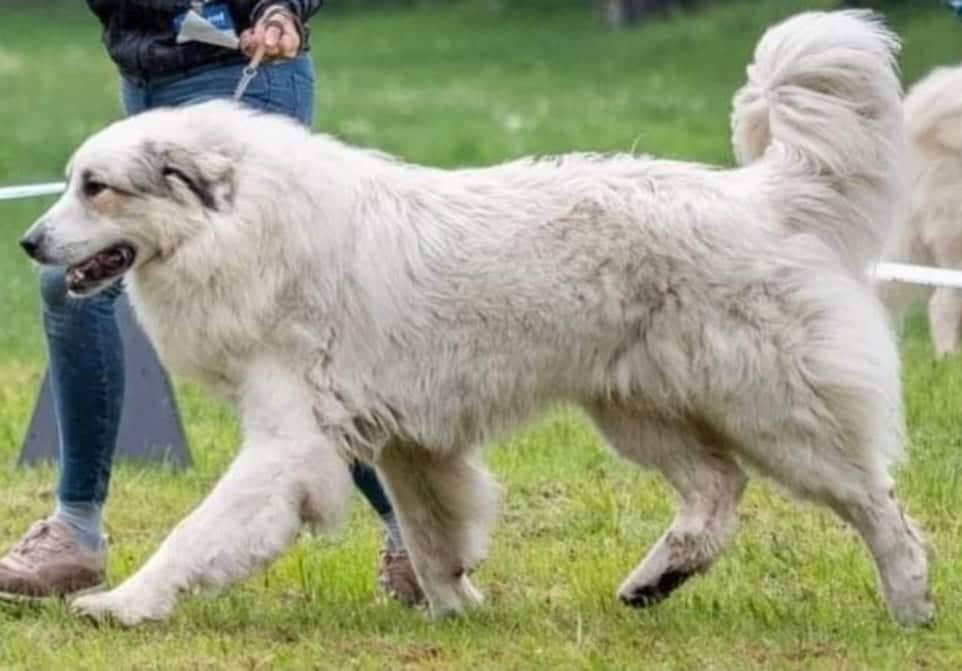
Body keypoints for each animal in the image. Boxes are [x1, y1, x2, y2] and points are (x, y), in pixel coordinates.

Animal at [16, 10, 928, 632]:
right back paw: (653, 581)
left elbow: (197, 532)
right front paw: (455, 607)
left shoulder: (291, 443)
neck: (241, 223)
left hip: (776, 410)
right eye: (70, 184)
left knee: (874, 501)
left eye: (96, 187)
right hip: (638, 408)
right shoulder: (405, 438)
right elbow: (433, 529)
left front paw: (123, 602)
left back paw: (911, 601)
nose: (29, 242)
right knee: (717, 491)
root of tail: (762, 195)